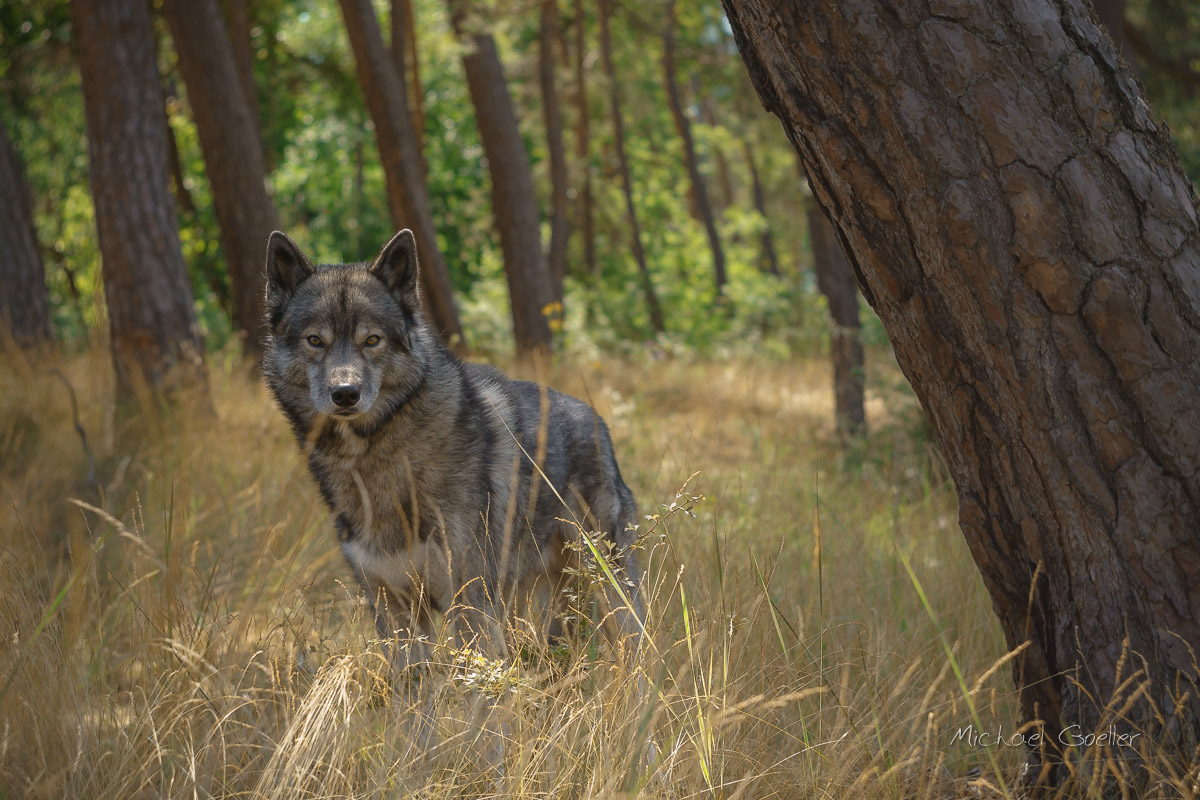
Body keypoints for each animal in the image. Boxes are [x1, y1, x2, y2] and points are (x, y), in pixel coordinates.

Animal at [264, 231, 648, 676]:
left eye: (372, 340)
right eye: (315, 341)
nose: (345, 394)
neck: (377, 460)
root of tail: (596, 418)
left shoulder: (469, 605)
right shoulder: (397, 613)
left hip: (607, 588)